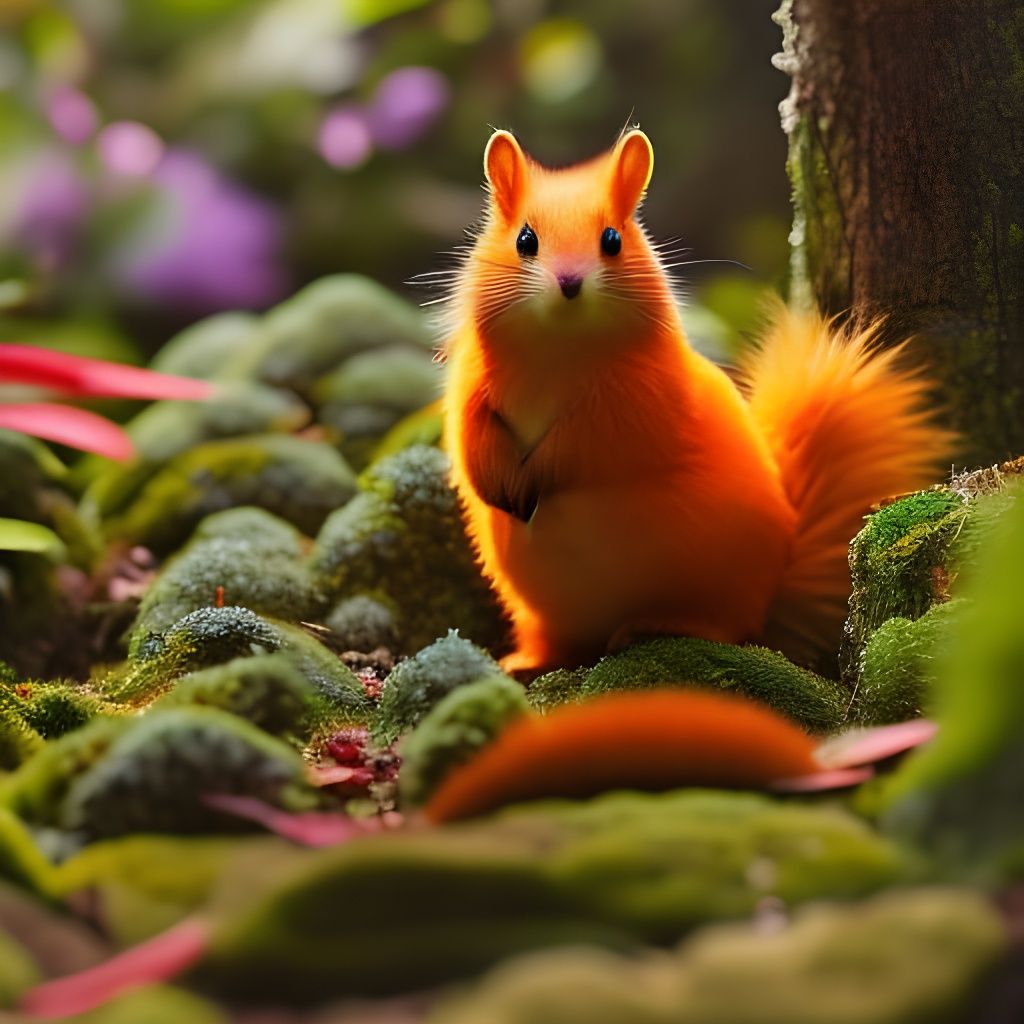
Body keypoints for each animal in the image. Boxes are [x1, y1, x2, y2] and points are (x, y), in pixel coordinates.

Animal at [441, 128, 952, 674]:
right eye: (525, 240)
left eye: (612, 240)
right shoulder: (467, 389)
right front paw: (496, 482)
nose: (570, 282)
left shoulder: (629, 407)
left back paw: (653, 626)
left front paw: (535, 477)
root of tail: (771, 596)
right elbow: (469, 437)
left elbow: (585, 450)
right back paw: (523, 662)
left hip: (712, 592)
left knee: (724, 629)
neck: (556, 347)